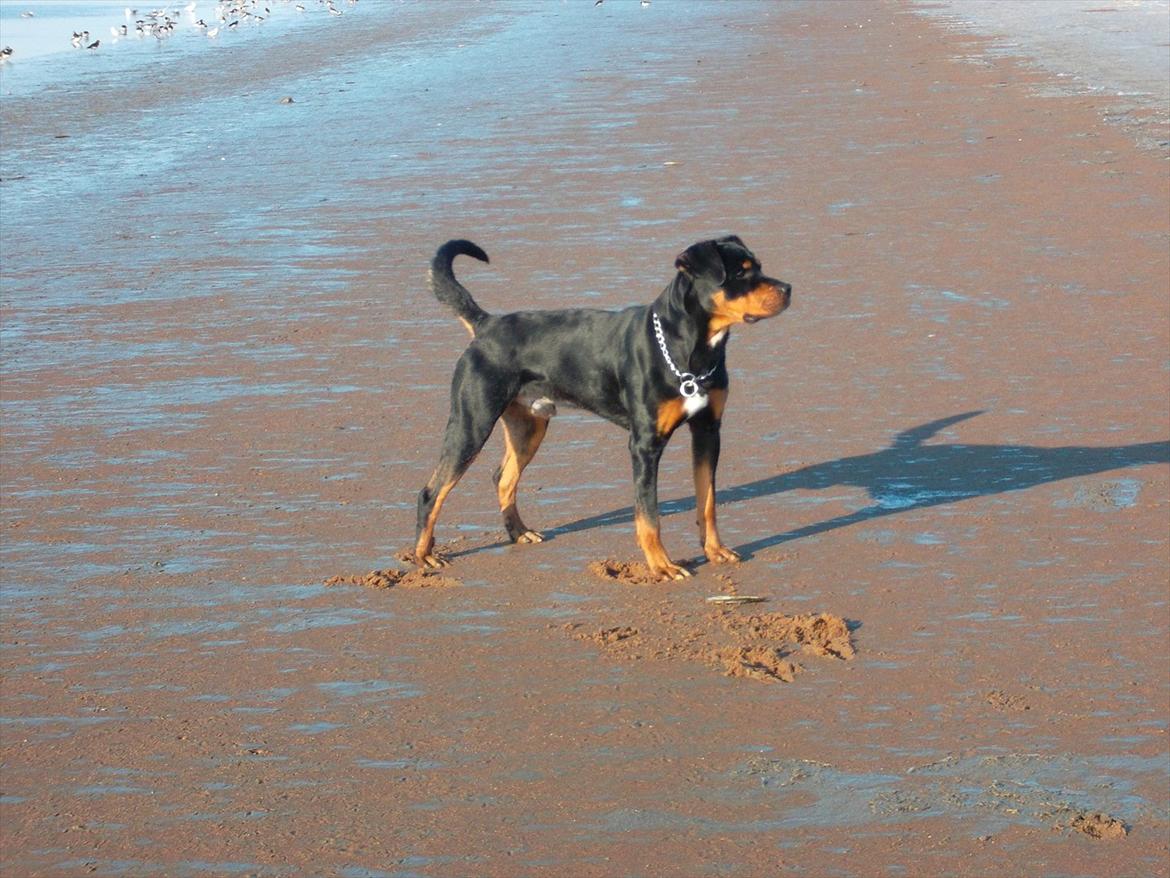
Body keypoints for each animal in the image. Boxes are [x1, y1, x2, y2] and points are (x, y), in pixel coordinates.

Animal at [414, 237, 795, 580]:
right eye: (740, 273)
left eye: (758, 266)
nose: (788, 288)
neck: (690, 349)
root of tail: (486, 324)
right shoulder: (644, 445)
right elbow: (649, 515)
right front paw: (661, 566)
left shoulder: (708, 431)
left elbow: (708, 501)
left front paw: (715, 550)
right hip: (472, 422)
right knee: (432, 491)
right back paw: (423, 556)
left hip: (529, 426)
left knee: (503, 477)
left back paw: (519, 532)